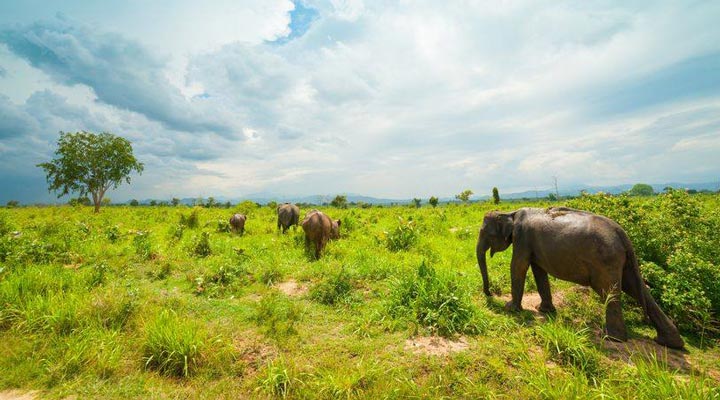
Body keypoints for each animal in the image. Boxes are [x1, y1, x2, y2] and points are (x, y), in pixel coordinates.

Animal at [476, 208, 684, 348]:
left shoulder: (522, 239)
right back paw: (670, 342)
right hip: (621, 261)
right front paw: (544, 311)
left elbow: (518, 267)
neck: (509, 213)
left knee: (609, 293)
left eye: (485, 233)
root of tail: (622, 234)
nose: (489, 294)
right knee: (637, 288)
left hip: (605, 261)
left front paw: (510, 309)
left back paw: (611, 338)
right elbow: (538, 271)